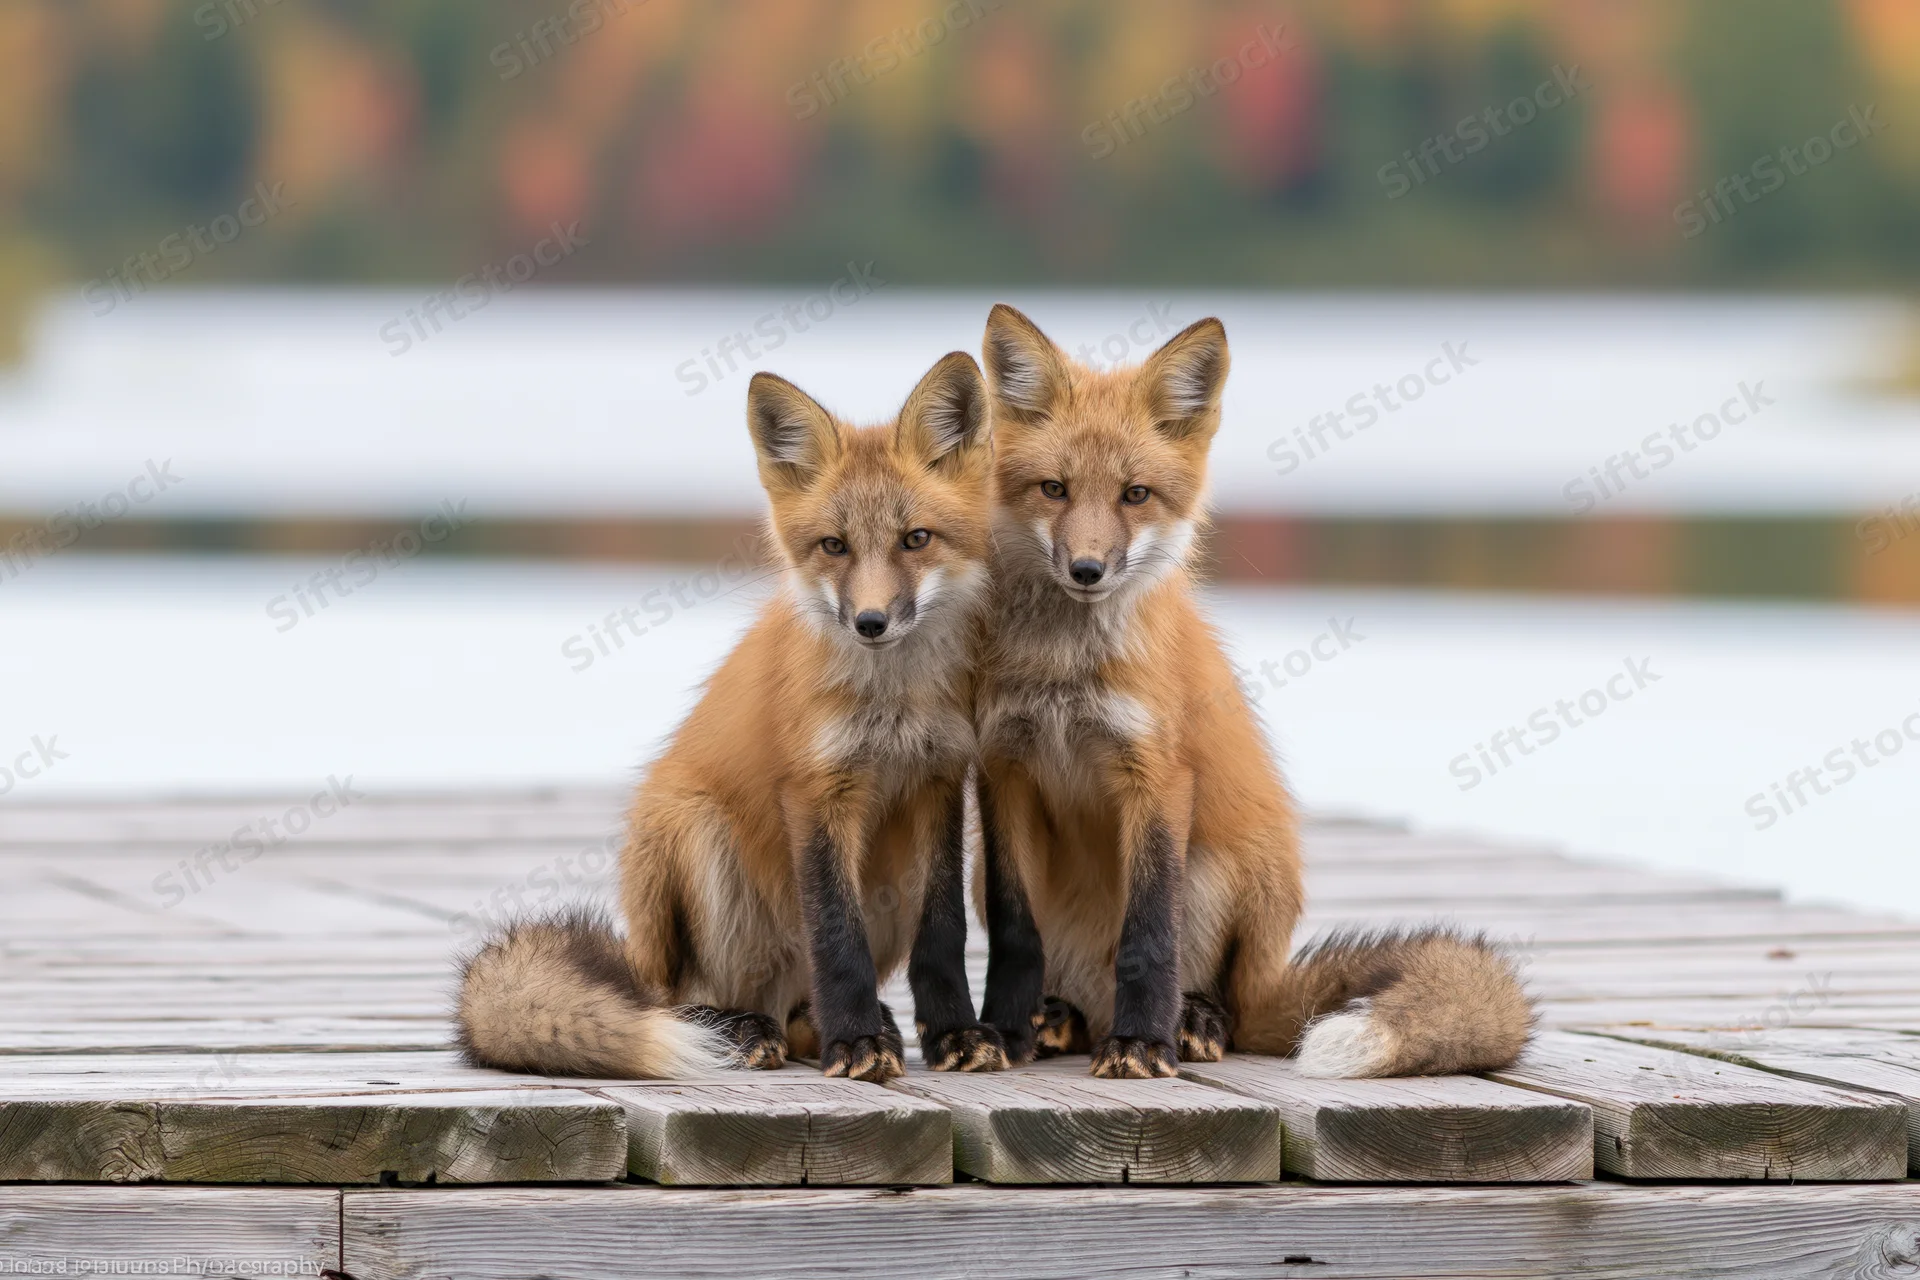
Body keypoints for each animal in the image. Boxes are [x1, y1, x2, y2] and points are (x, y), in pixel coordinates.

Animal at [457, 351, 1010, 1084]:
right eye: (834, 546)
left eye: (916, 539)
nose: (869, 622)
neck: (892, 701)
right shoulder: (813, 792)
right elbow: (837, 938)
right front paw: (858, 1040)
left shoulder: (939, 780)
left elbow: (944, 932)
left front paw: (952, 1032)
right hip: (691, 834)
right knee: (677, 1000)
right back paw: (738, 1028)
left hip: (885, 883)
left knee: (799, 1012)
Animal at [970, 304, 1533, 1079]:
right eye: (1054, 489)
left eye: (1135, 495)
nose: (1087, 569)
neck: (1065, 669)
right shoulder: (1004, 769)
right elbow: (1013, 931)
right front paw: (999, 1031)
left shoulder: (1157, 776)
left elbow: (1150, 934)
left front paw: (1141, 1046)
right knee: (1079, 997)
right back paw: (1059, 1020)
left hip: (1230, 868)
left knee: (1224, 1004)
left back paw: (1186, 1023)